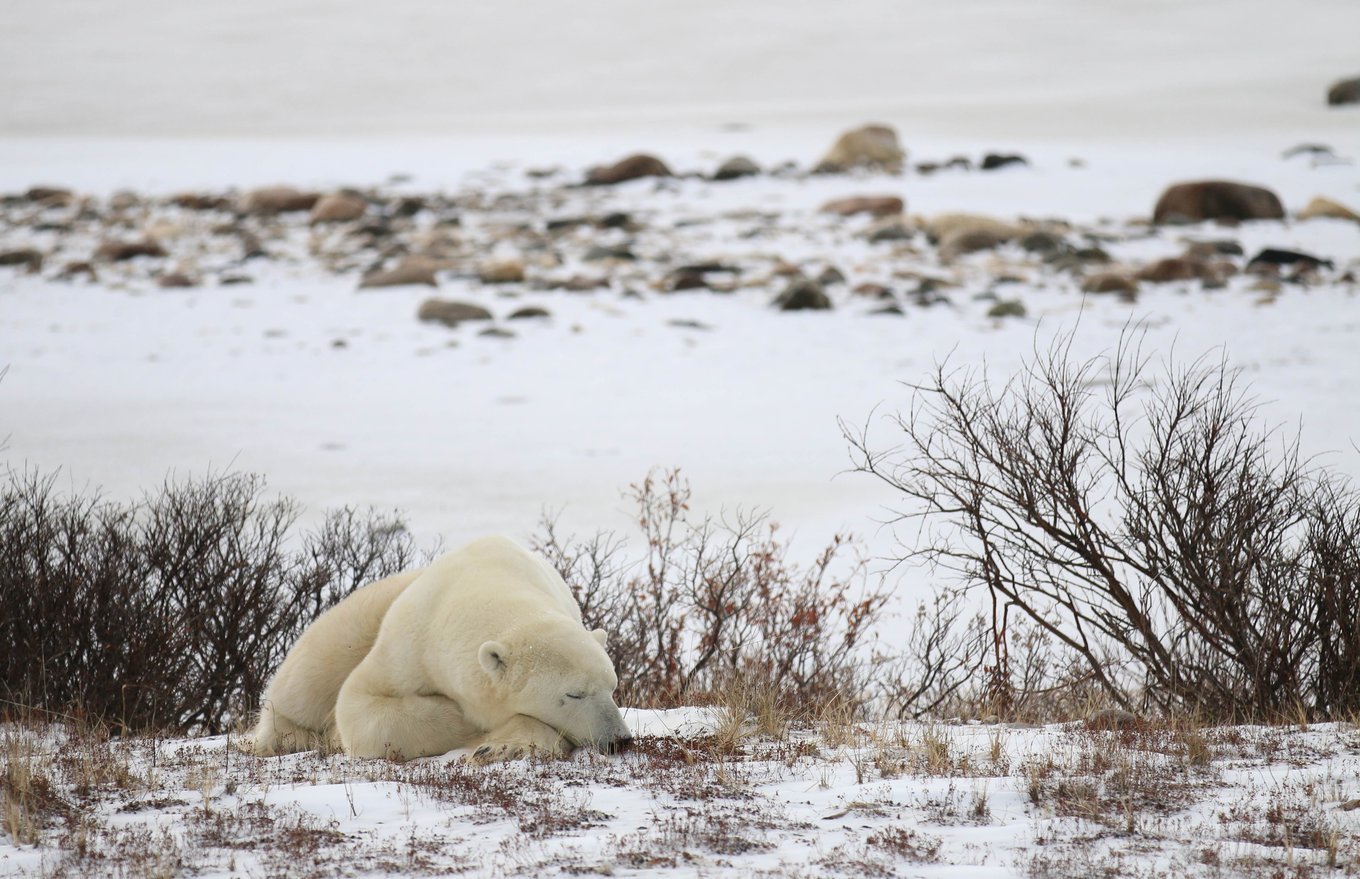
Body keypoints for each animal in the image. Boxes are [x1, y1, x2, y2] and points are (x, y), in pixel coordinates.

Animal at [247, 536, 628, 761]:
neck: (485, 579)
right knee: (307, 680)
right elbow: (359, 705)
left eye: (612, 687)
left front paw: (500, 745)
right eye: (573, 694)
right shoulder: (410, 642)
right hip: (356, 618)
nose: (620, 740)